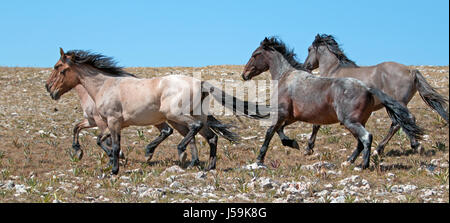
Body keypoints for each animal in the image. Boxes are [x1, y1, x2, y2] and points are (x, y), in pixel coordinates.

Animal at [241, 37, 424, 168]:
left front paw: (259, 159)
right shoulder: (291, 116)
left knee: (367, 137)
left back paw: (363, 165)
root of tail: (367, 88)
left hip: (350, 121)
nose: (245, 74)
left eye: (255, 54)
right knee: (363, 141)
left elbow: (270, 132)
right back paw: (349, 161)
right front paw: (293, 144)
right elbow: (280, 131)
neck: (286, 77)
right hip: (357, 121)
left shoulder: (281, 114)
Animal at [304, 34, 448, 155]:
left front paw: (309, 148)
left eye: (309, 49)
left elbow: (316, 124)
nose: (306, 66)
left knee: (404, 121)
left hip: (398, 103)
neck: (334, 71)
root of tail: (410, 71)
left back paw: (389, 148)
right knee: (400, 122)